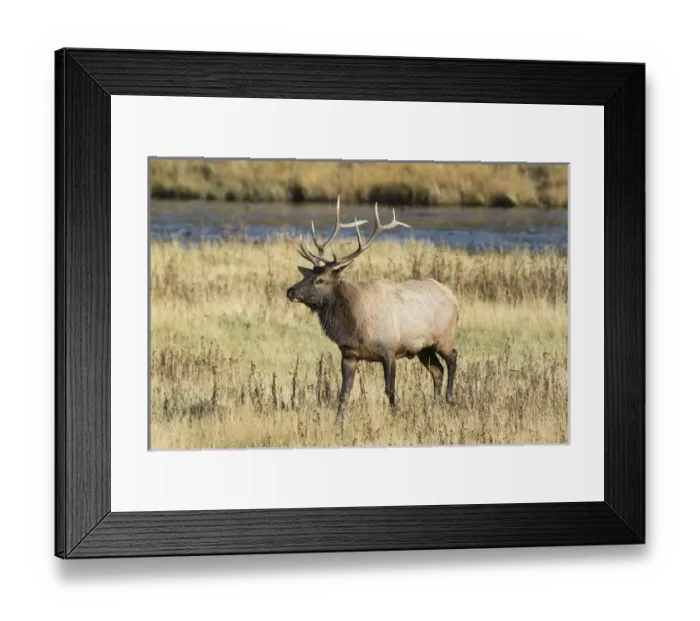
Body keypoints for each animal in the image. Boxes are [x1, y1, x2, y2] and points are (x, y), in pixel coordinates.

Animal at [286, 197, 459, 421]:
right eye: (306, 275)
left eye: (320, 280)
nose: (290, 291)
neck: (354, 326)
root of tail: (453, 298)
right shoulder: (349, 354)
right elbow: (344, 392)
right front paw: (338, 421)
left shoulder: (389, 350)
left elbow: (390, 390)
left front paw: (395, 415)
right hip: (423, 347)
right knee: (437, 370)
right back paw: (434, 404)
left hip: (443, 337)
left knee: (452, 358)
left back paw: (449, 398)